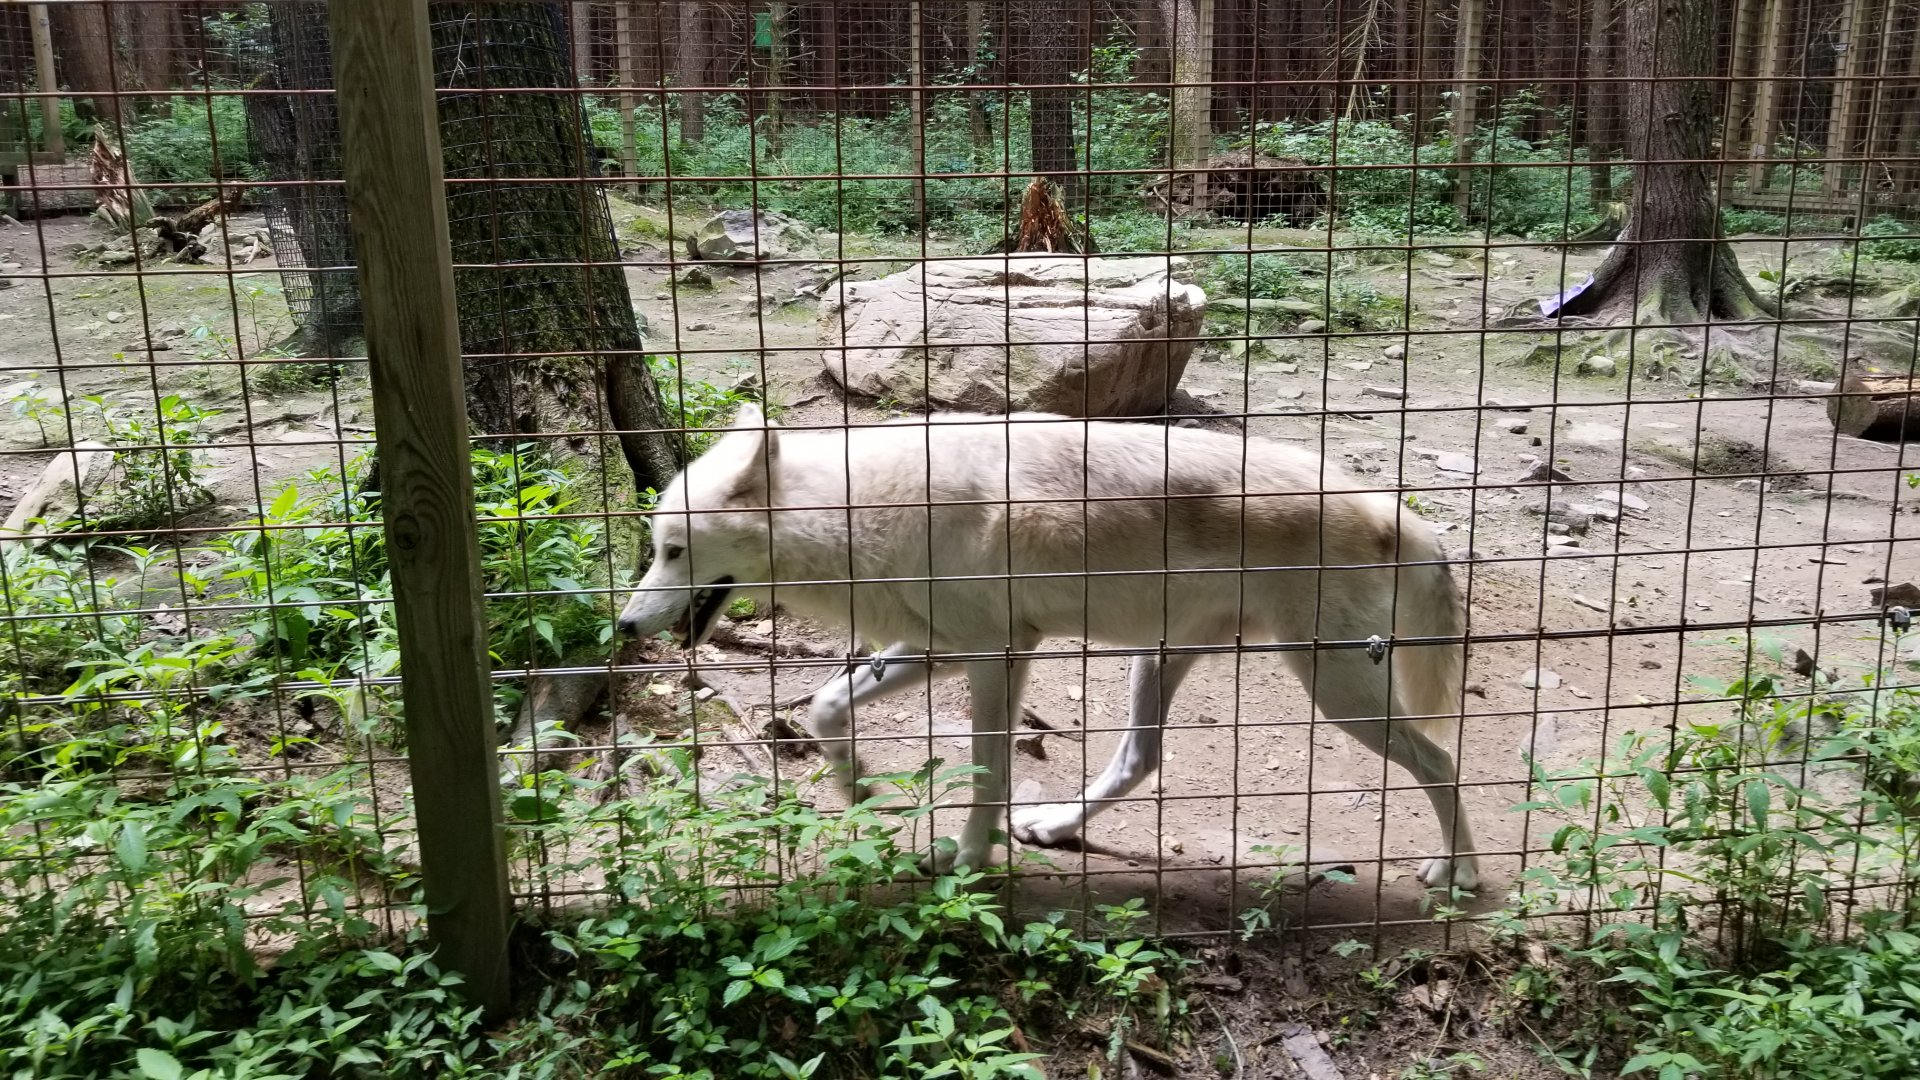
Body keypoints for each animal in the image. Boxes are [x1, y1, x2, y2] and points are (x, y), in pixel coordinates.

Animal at [617, 405, 1480, 890]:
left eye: (671, 551)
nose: (623, 627)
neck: (855, 510)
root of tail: (1396, 509)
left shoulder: (997, 657)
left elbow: (985, 776)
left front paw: (967, 862)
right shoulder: (937, 650)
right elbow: (828, 707)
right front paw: (858, 787)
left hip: (1337, 691)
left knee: (1441, 761)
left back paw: (1461, 873)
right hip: (1157, 661)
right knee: (1140, 759)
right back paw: (1059, 826)